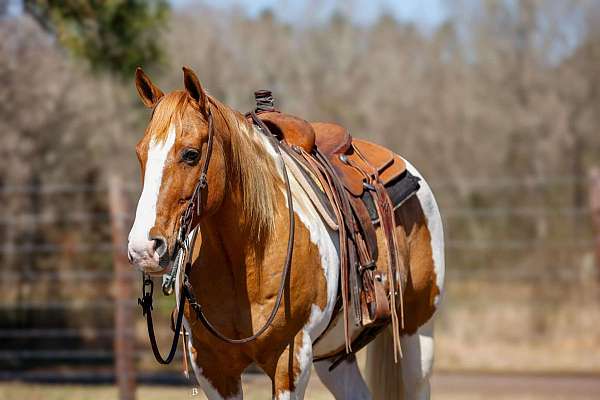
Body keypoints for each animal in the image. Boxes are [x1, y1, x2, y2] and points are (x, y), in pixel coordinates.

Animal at [127, 67, 446, 398]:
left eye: (190, 154)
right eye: (140, 153)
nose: (144, 248)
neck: (246, 258)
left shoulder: (290, 360)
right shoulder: (212, 366)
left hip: (418, 333)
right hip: (335, 353)